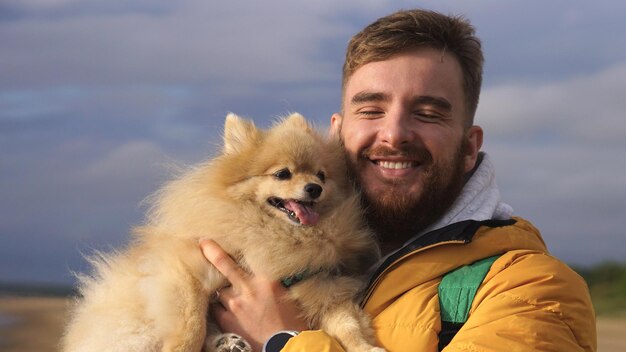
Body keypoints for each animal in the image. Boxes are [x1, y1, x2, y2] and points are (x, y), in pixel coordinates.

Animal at [64, 113, 386, 352]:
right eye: (283, 174)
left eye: (321, 175)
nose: (314, 188)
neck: (281, 236)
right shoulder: (187, 270)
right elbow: (192, 323)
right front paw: (181, 348)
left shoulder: (321, 287)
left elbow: (347, 325)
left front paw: (365, 348)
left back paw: (228, 342)